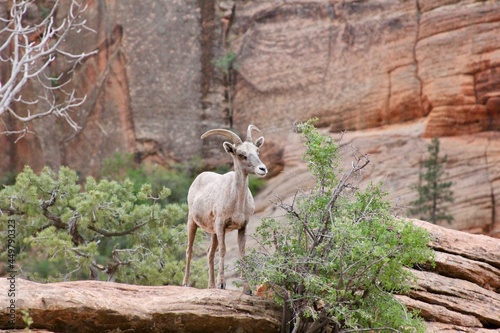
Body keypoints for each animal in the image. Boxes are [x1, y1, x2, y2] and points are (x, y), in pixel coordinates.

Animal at [184, 124, 268, 290]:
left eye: (257, 151)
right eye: (241, 154)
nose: (262, 169)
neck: (237, 203)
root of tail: (199, 177)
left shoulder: (242, 227)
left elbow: (242, 253)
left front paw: (247, 289)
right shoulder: (221, 224)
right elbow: (223, 250)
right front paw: (222, 284)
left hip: (213, 232)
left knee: (209, 253)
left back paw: (211, 286)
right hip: (193, 222)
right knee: (189, 250)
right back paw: (186, 283)